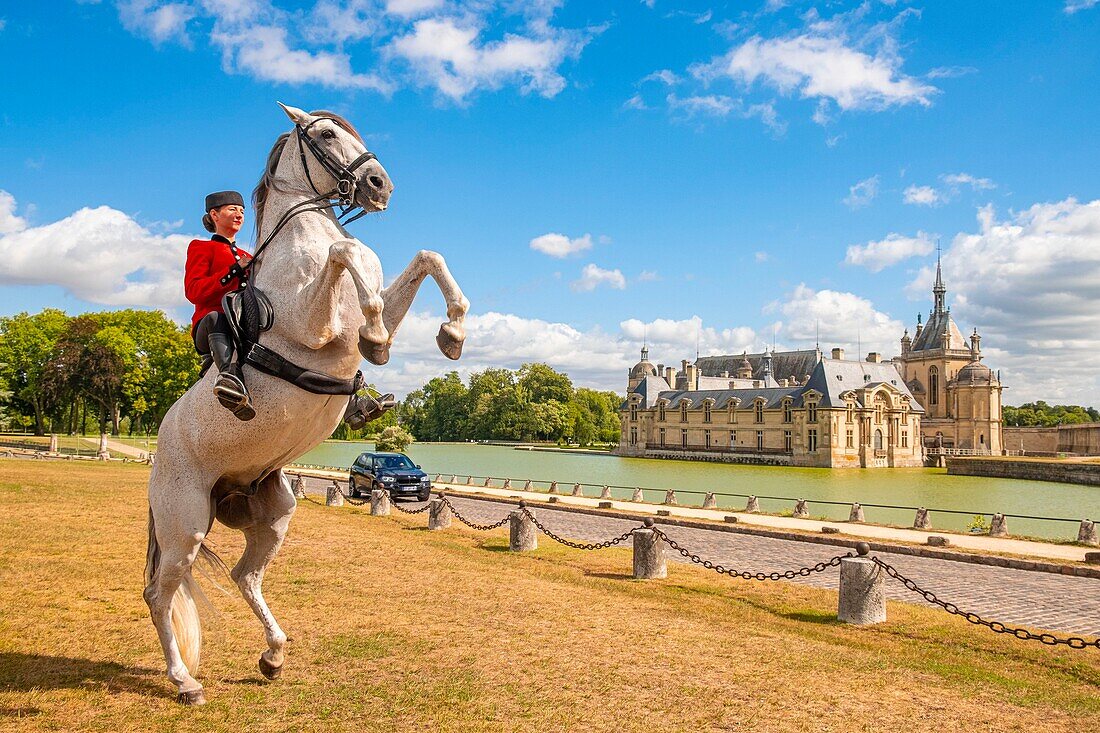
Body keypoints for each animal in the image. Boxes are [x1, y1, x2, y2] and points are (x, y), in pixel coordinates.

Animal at [143, 102, 468, 704]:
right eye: (324, 134)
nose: (380, 185)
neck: (306, 226)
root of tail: (157, 454)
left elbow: (425, 256)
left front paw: (451, 331)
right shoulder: (312, 327)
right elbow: (345, 254)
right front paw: (378, 335)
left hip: (273, 511)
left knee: (244, 576)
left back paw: (273, 655)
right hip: (186, 522)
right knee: (160, 594)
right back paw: (185, 681)